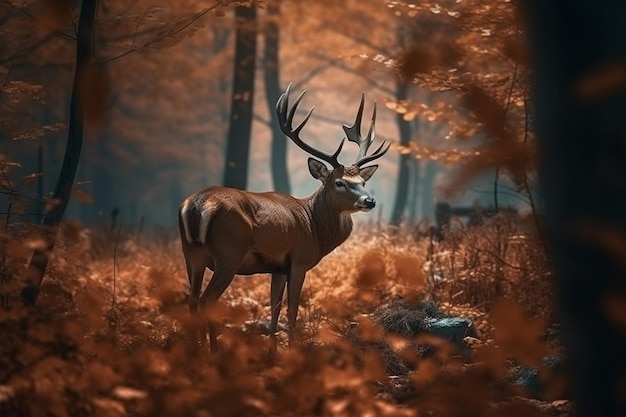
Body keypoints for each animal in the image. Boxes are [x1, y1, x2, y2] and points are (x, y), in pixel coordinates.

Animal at [178, 83, 388, 350]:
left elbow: (275, 308)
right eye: (340, 182)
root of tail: (196, 205)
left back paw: (196, 350)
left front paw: (272, 352)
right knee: (207, 302)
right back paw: (213, 350)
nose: (369, 201)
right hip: (228, 253)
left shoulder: (277, 266)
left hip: (191, 254)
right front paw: (292, 351)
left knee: (193, 301)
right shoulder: (299, 260)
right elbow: (292, 310)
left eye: (362, 182)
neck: (314, 227)